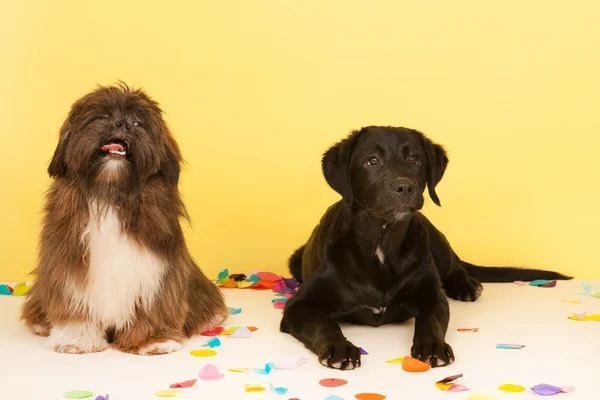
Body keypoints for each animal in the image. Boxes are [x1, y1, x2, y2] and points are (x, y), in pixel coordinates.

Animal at [21, 83, 227, 354]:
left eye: (138, 123)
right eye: (103, 117)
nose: (122, 124)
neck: (111, 193)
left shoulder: (155, 272)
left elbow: (153, 307)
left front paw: (154, 340)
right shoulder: (69, 266)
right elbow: (76, 307)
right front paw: (76, 339)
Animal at [278, 126, 568, 370]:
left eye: (414, 159)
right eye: (372, 161)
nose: (405, 187)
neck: (381, 241)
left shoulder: (432, 295)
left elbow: (431, 320)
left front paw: (432, 345)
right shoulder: (299, 305)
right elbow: (323, 323)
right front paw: (339, 347)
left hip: (434, 237)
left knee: (455, 266)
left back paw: (467, 285)